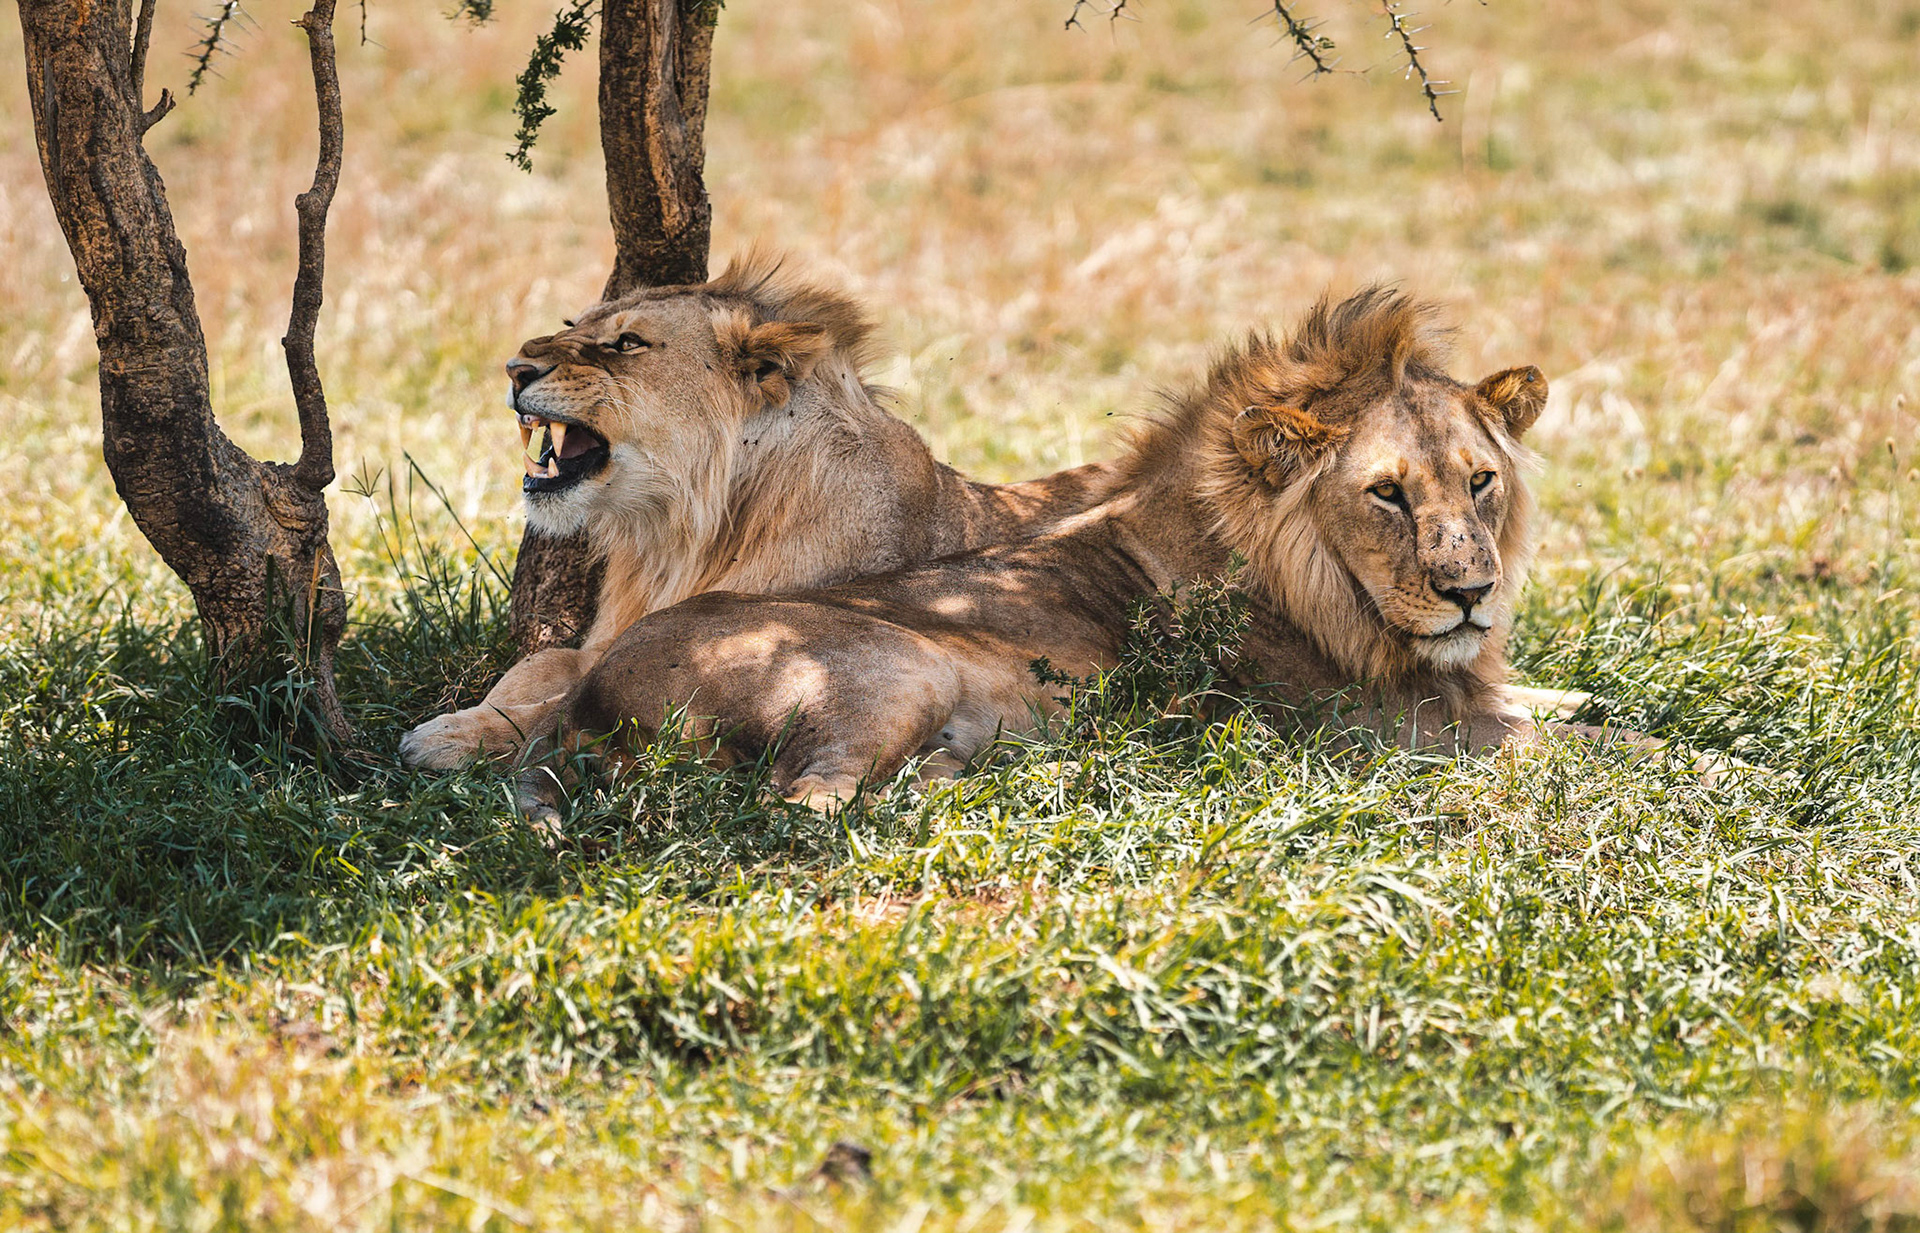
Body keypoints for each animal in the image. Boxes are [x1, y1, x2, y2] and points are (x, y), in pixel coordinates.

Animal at [399, 255, 1115, 769]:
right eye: (574, 326)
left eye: (627, 344)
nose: (515, 368)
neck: (679, 536)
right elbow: (539, 666)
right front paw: (466, 717)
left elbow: (561, 700)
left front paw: (444, 739)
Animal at [518, 286, 1603, 818]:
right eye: (1386, 493)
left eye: (1481, 481)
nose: (1472, 593)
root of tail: (591, 694)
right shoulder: (1388, 730)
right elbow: (1606, 745)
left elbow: (1571, 705)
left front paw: (1579, 693)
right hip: (897, 667)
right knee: (807, 803)